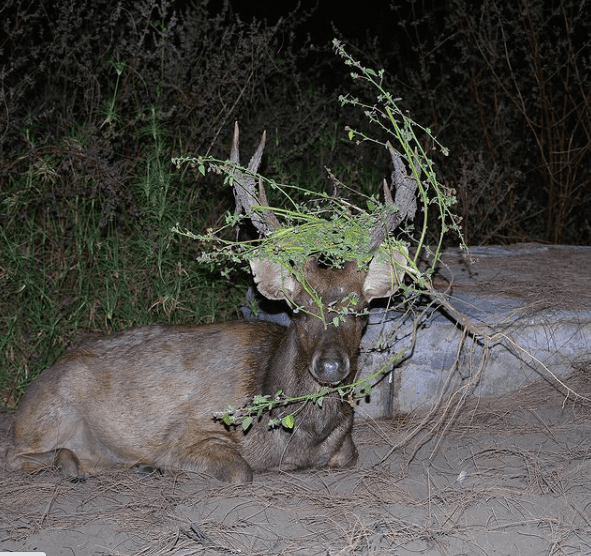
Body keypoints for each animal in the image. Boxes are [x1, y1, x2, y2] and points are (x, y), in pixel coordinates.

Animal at [4, 122, 414, 482]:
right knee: (16, 455)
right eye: (298, 310)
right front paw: (159, 464)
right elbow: (240, 471)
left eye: (360, 312)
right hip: (50, 410)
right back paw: (83, 463)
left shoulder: (345, 446)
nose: (330, 366)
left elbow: (349, 455)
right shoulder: (188, 433)